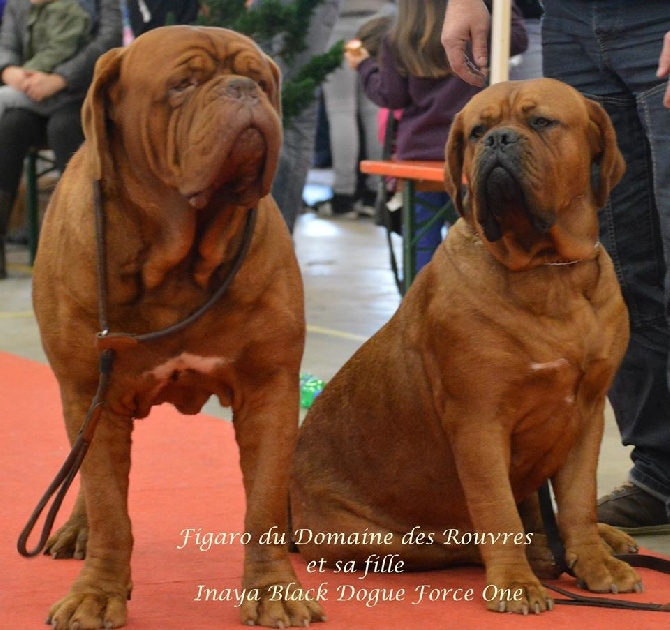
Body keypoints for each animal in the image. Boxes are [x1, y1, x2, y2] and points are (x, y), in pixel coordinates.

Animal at [32, 25, 326, 630]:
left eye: (261, 80)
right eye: (183, 84)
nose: (242, 90)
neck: (179, 262)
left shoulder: (270, 388)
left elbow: (262, 504)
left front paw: (273, 590)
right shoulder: (89, 386)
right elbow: (108, 504)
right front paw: (96, 594)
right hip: (86, 398)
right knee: (86, 468)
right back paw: (76, 529)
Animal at [292, 79, 644, 616]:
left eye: (541, 122)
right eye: (478, 130)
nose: (498, 140)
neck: (548, 270)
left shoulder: (585, 416)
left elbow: (579, 501)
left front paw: (594, 561)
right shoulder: (479, 421)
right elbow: (495, 511)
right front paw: (516, 583)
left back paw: (603, 539)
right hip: (384, 539)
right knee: (462, 542)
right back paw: (539, 557)